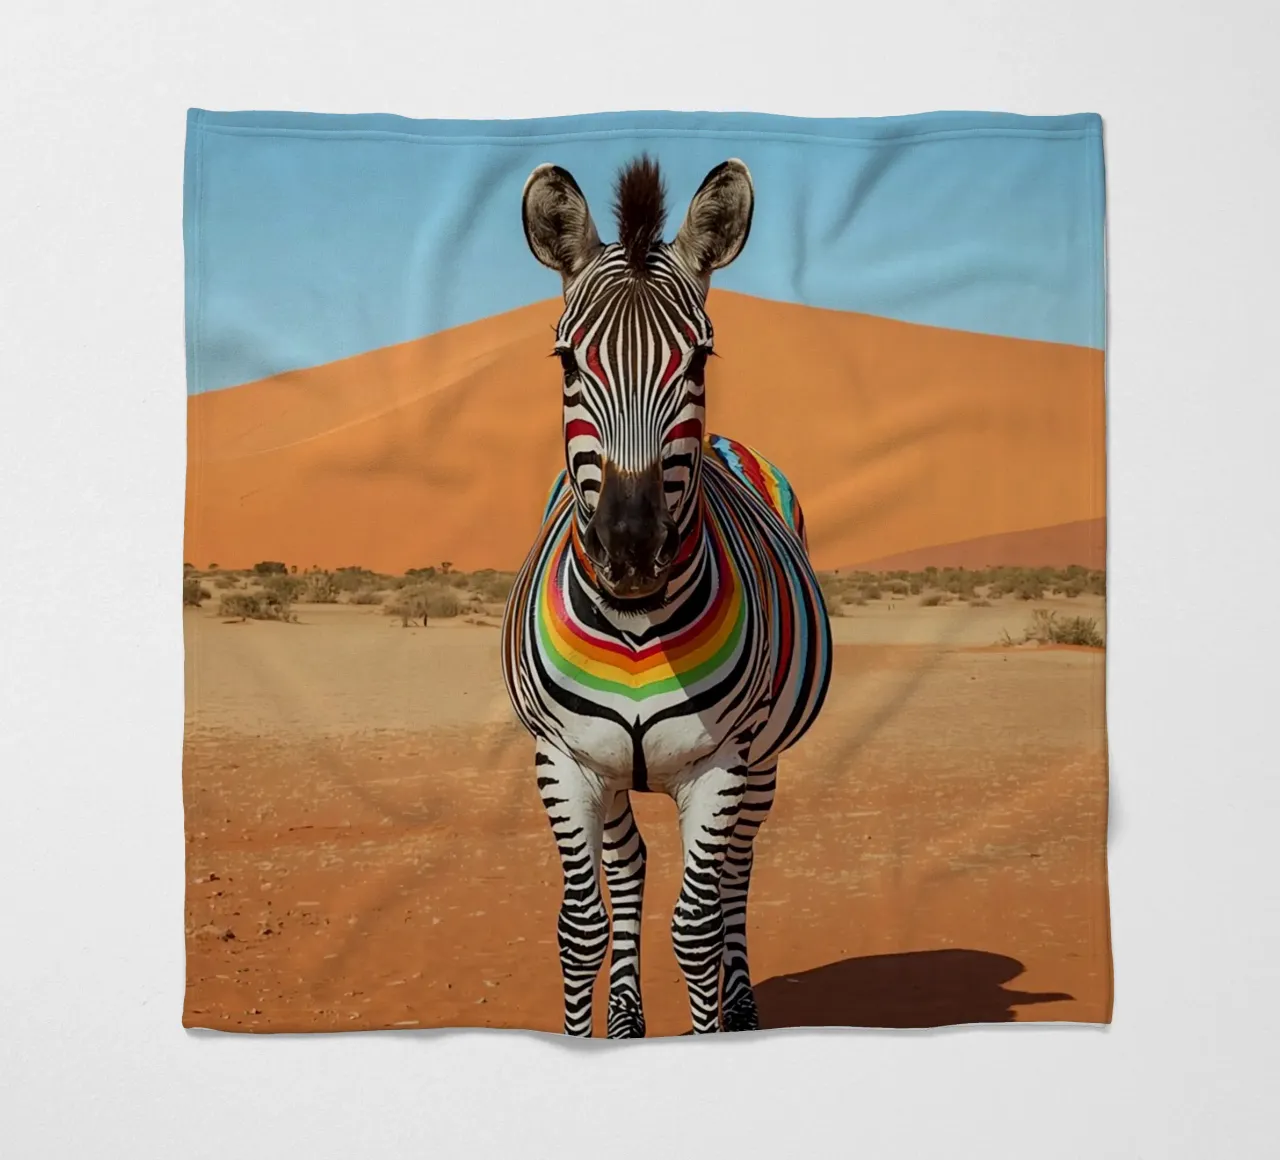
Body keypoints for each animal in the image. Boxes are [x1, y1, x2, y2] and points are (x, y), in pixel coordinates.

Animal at [502, 155, 832, 1036]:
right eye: (567, 363)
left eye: (699, 363)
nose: (630, 552)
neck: (636, 626)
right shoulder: (565, 760)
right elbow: (581, 928)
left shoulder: (719, 763)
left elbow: (696, 929)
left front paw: (713, 1017)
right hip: (617, 772)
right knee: (630, 867)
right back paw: (625, 1016)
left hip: (761, 761)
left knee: (734, 877)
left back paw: (743, 1005)